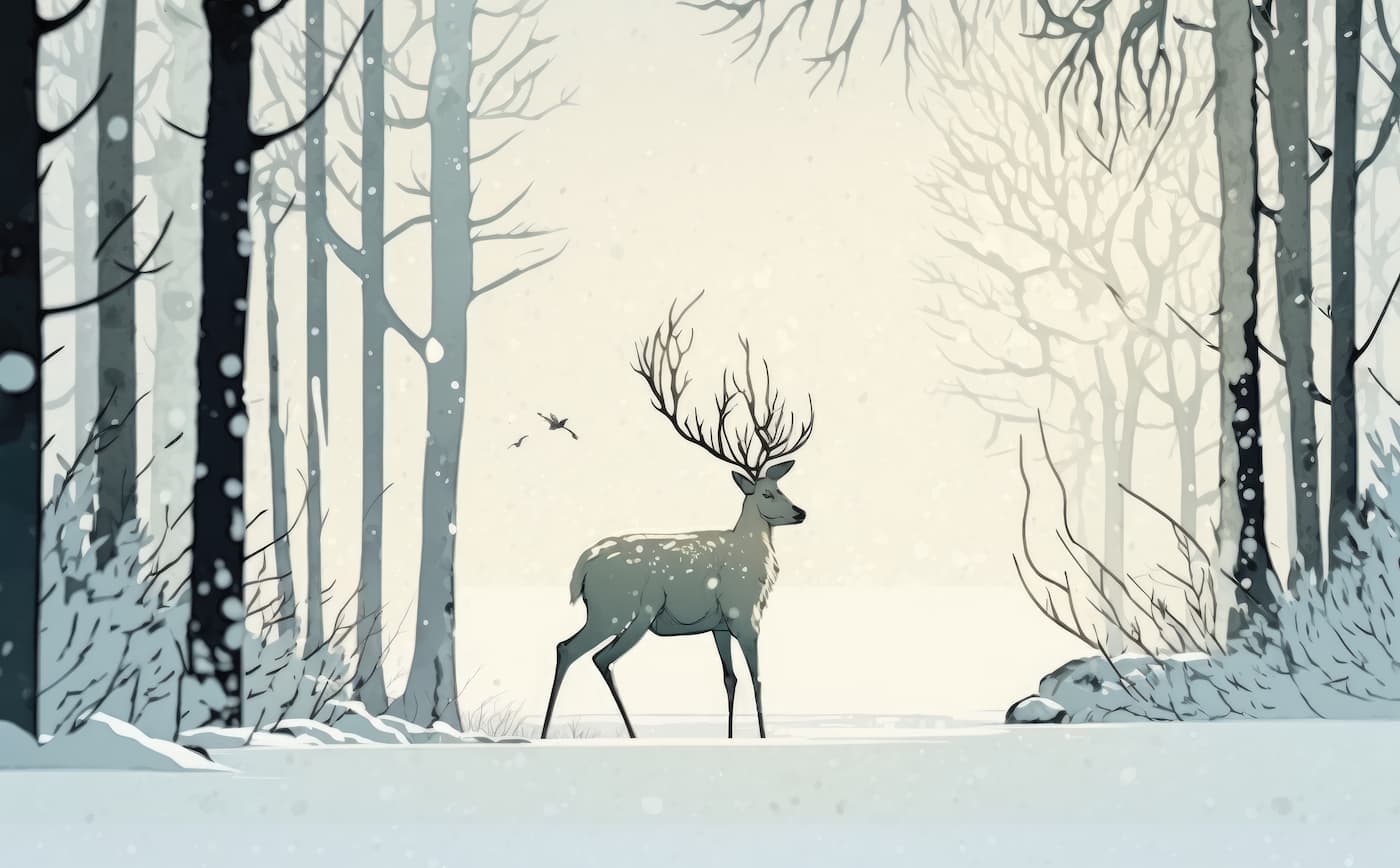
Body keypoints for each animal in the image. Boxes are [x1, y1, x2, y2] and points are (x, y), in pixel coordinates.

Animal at [539, 292, 814, 740]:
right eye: (768, 492)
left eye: (783, 487)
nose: (800, 512)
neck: (758, 563)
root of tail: (581, 570)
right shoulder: (744, 614)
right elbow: (757, 677)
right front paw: (762, 736)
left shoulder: (719, 624)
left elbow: (729, 679)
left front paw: (731, 736)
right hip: (621, 610)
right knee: (590, 654)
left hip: (608, 612)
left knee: (571, 648)